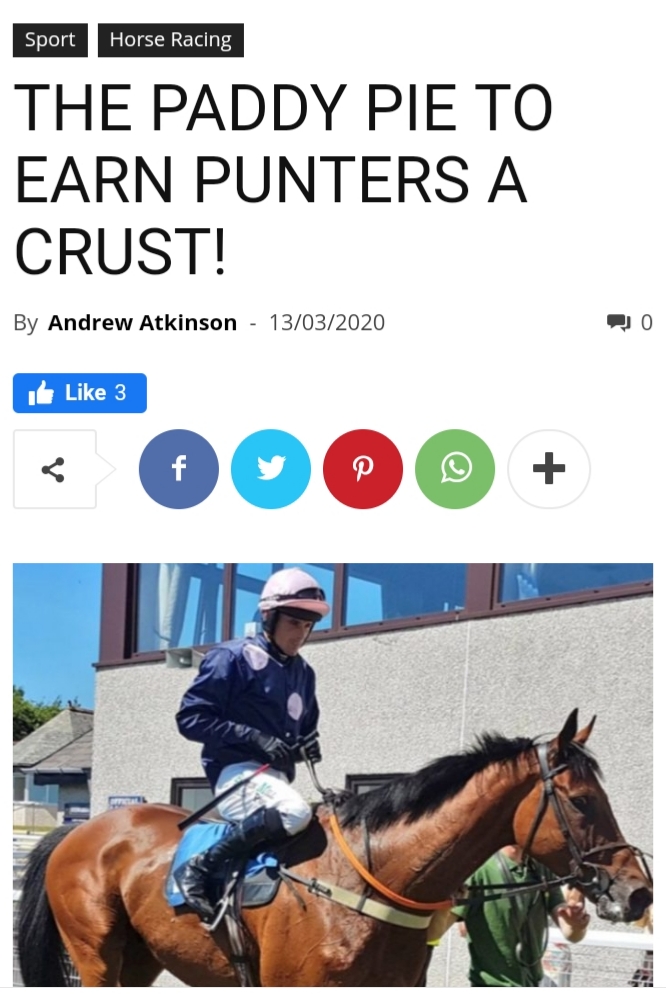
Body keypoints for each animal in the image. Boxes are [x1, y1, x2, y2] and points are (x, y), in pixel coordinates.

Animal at [18, 710, 652, 987]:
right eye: (581, 801)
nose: (638, 891)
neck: (374, 881)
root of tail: (82, 830)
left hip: (141, 958)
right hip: (97, 953)